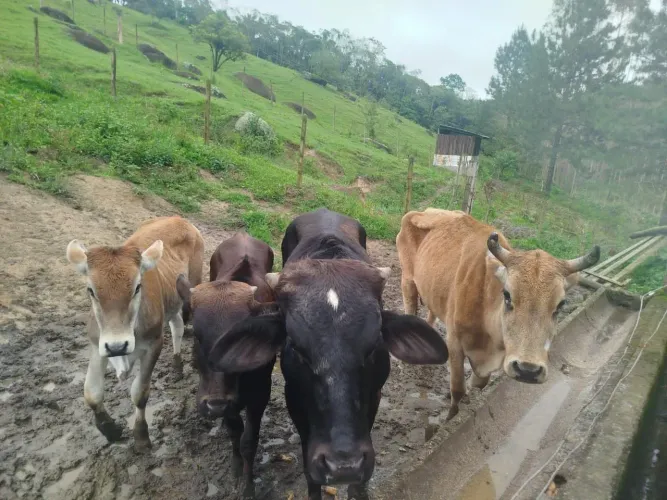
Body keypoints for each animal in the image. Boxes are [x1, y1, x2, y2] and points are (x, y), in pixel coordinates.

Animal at [65, 216, 204, 451]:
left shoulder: (153, 345)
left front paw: (141, 435)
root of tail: (179, 219)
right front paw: (110, 429)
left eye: (137, 287)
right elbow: (92, 393)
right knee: (177, 325)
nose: (117, 346)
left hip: (193, 283)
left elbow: (139, 393)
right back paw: (176, 365)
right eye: (91, 290)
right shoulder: (97, 344)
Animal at [175, 232, 275, 499]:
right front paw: (236, 467)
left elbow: (249, 440)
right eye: (197, 336)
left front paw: (248, 486)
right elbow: (234, 431)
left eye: (242, 337)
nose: (215, 404)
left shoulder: (260, 393)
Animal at [396, 209, 600, 420]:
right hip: (407, 280)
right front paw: (450, 417)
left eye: (561, 304)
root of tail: (422, 211)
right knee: (409, 308)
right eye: (507, 295)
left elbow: (478, 383)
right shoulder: (455, 342)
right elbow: (458, 389)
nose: (528, 370)